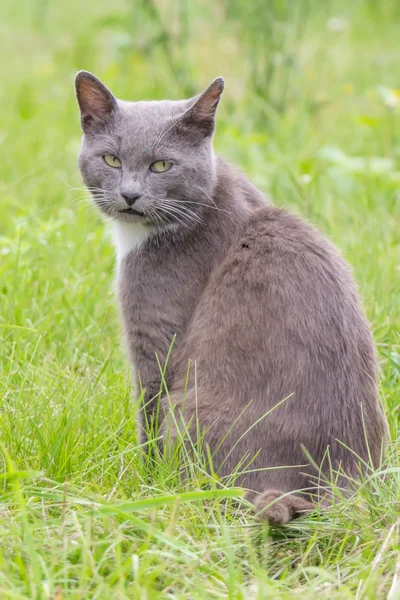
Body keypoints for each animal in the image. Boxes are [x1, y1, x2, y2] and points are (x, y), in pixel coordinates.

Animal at [75, 72, 388, 524]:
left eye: (162, 165)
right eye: (111, 159)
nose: (130, 194)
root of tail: (343, 471)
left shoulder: (155, 333)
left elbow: (147, 412)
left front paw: (143, 486)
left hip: (192, 412)